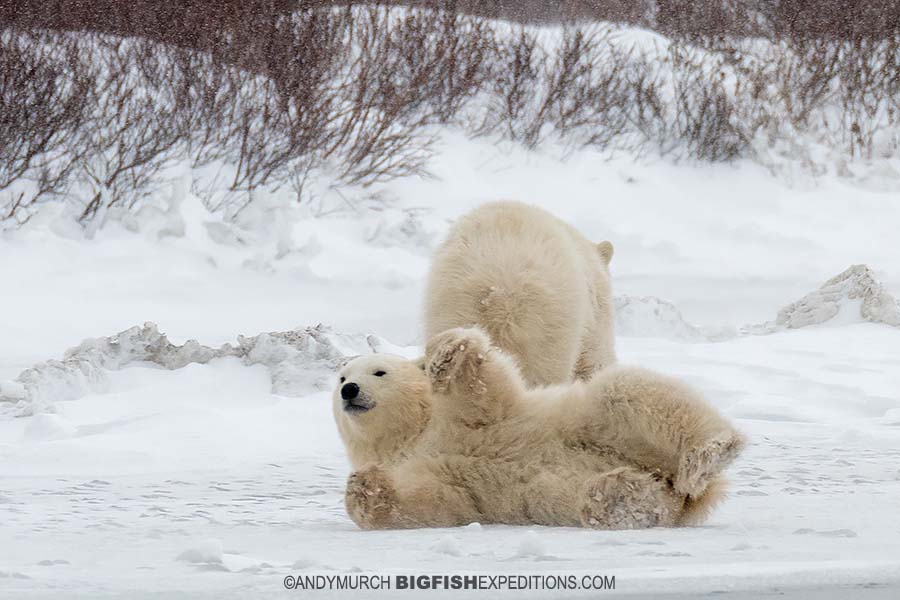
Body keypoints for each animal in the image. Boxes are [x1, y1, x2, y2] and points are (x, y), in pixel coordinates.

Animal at [330, 328, 744, 528]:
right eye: (341, 377)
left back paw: (709, 453)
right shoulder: (421, 464)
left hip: (602, 423)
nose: (350, 390)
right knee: (608, 499)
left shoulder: (473, 418)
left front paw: (448, 353)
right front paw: (365, 486)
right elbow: (437, 499)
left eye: (379, 372)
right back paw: (622, 494)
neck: (414, 432)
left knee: (625, 393)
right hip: (592, 491)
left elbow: (484, 394)